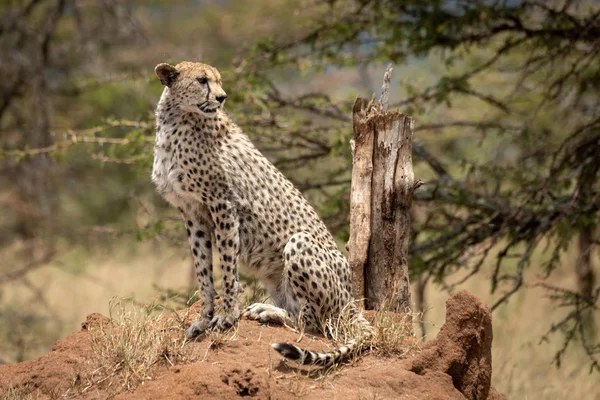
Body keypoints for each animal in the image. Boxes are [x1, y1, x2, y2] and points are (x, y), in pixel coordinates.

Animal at [152, 61, 372, 366]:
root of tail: (352, 300)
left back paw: (269, 312)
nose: (222, 97)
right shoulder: (192, 212)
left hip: (300, 243)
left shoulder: (222, 204)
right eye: (201, 80)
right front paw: (204, 320)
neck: (176, 119)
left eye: (219, 80)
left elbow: (228, 269)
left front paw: (227, 316)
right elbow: (203, 271)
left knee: (313, 323)